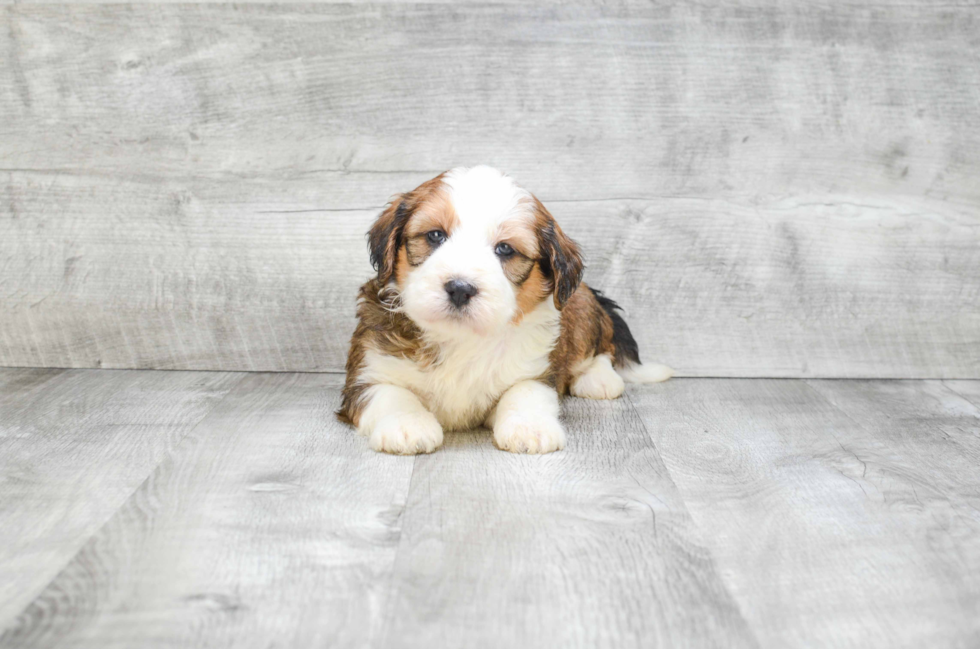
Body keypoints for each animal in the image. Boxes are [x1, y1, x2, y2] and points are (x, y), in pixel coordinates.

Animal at [338, 167, 672, 456]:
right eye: (434, 236)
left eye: (505, 249)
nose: (460, 288)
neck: (460, 338)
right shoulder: (367, 373)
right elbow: (391, 395)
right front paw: (408, 425)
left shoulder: (536, 371)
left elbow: (524, 392)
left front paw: (530, 428)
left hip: (581, 309)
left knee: (602, 346)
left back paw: (599, 379)